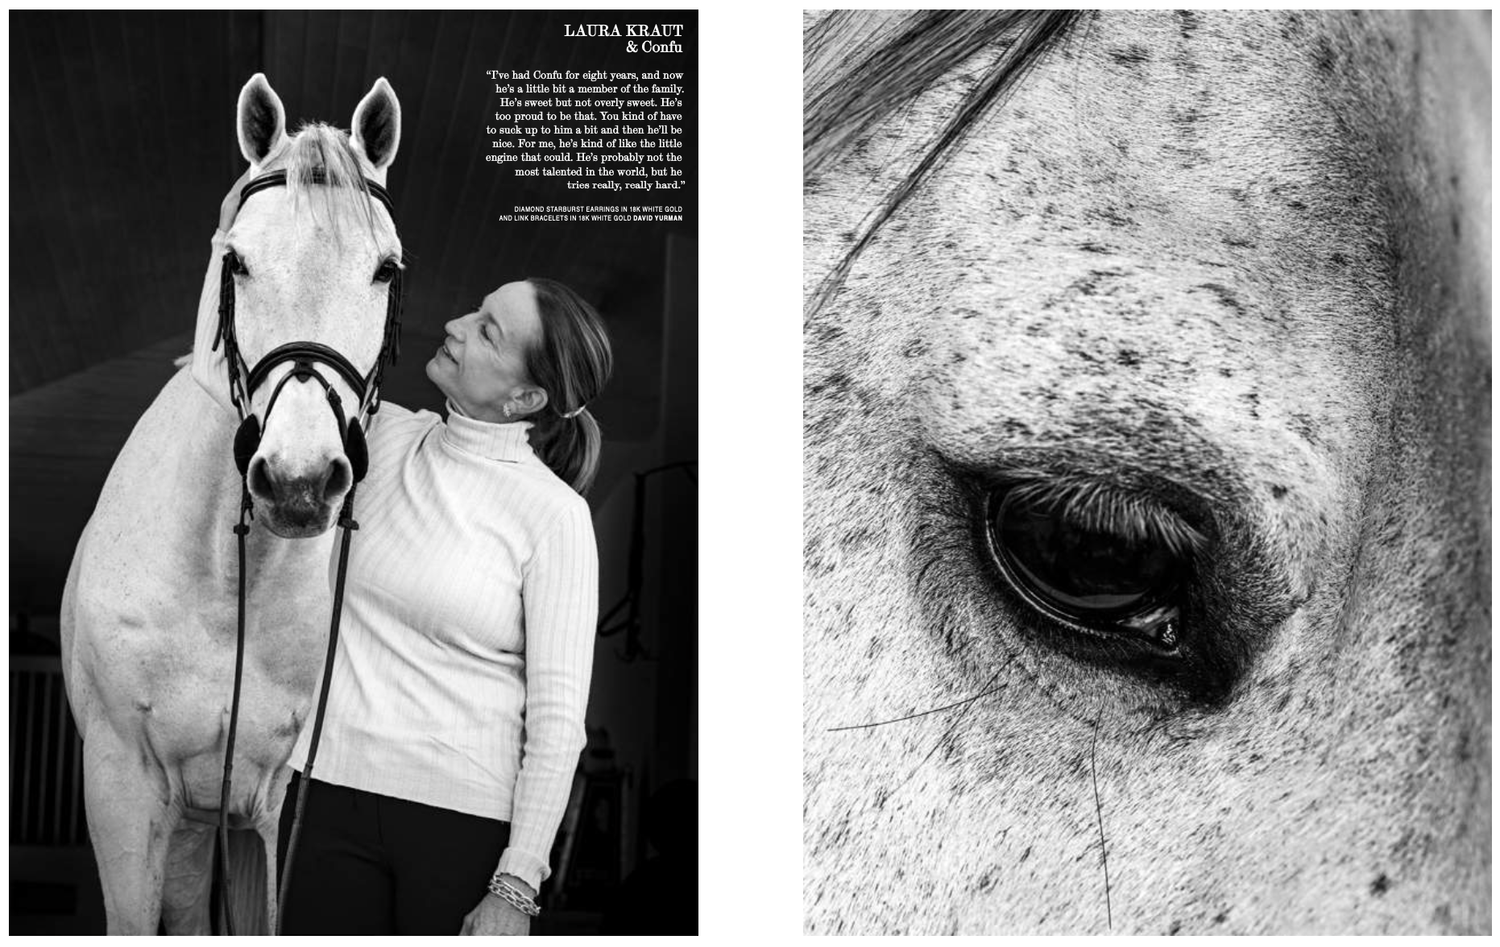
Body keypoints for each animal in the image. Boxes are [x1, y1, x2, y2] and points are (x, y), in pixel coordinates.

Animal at [60, 74, 403, 934]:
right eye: (236, 261)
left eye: (386, 269)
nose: (299, 481)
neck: (224, 580)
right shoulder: (121, 790)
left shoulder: (269, 812)